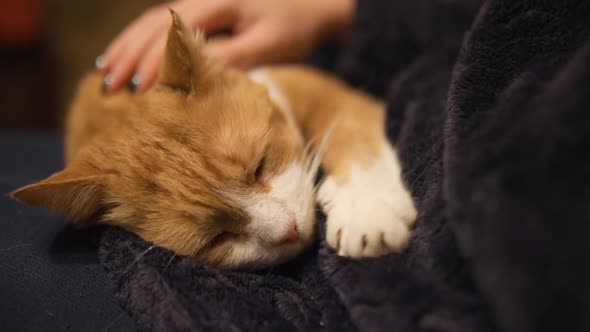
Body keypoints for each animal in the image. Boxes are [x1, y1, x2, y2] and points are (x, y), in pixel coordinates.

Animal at [9, 11, 416, 270]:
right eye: (217, 238)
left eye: (261, 165)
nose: (290, 232)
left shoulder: (317, 88)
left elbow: (351, 136)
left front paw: (367, 210)